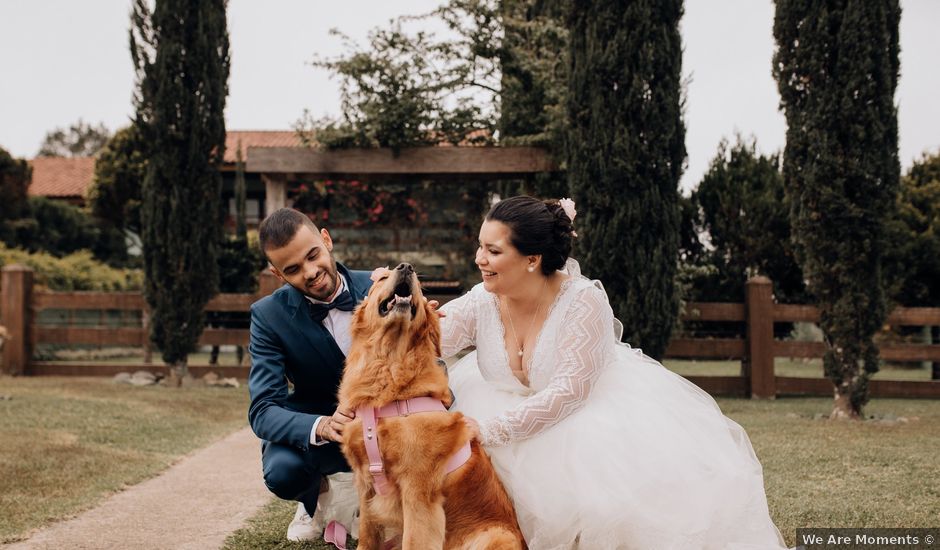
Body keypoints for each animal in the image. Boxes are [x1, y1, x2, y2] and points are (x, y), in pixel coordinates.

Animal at [340, 264, 528, 550]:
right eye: (382, 278)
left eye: (419, 284)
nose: (406, 267)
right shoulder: (365, 481)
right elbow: (367, 534)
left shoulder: (418, 491)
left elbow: (414, 540)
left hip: (497, 536)